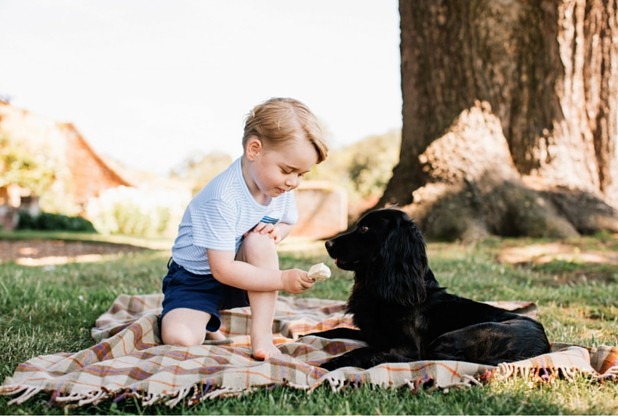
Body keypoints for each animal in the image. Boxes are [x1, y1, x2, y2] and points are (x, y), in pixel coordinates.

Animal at [312, 208, 548, 370]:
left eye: (365, 228)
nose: (327, 243)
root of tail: (543, 347)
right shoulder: (372, 333)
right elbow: (337, 330)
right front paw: (311, 335)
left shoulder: (406, 346)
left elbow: (365, 350)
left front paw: (333, 363)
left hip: (453, 337)